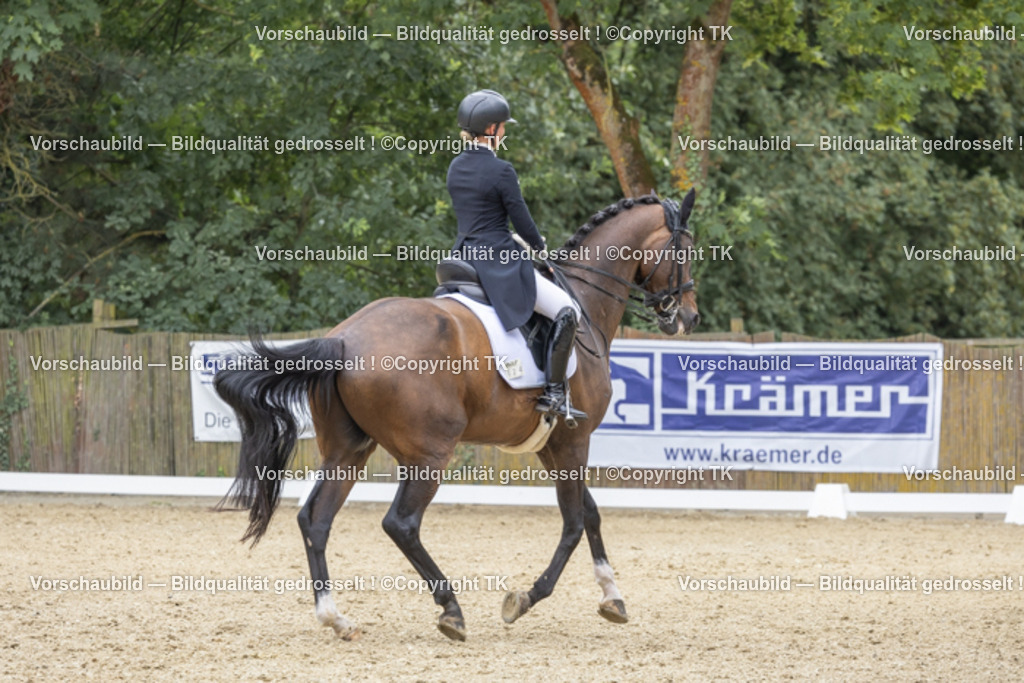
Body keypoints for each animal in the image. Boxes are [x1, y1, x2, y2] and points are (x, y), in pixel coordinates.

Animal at [213, 189, 700, 642]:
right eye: (686, 250)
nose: (689, 317)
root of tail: (343, 340)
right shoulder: (574, 439)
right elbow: (575, 522)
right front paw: (525, 598)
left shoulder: (552, 443)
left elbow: (591, 514)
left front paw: (612, 596)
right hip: (429, 454)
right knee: (401, 524)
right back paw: (451, 610)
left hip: (348, 451)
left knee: (315, 519)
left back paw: (336, 617)